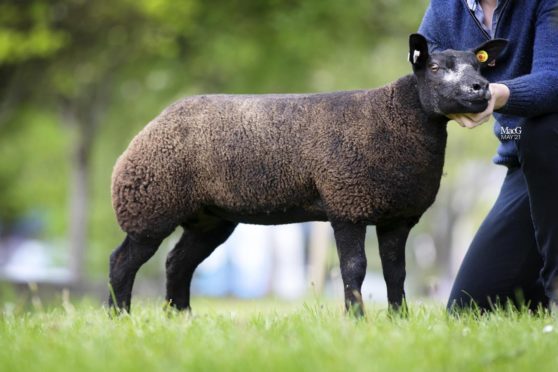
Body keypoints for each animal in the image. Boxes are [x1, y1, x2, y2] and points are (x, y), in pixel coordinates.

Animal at [107, 33, 510, 316]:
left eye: (480, 67)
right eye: (436, 68)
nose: (480, 88)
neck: (395, 118)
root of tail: (152, 125)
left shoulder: (397, 216)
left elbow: (396, 272)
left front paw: (399, 320)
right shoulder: (348, 204)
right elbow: (355, 269)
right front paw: (357, 319)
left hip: (208, 218)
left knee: (177, 263)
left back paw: (181, 318)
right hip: (151, 204)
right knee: (122, 262)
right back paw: (120, 318)